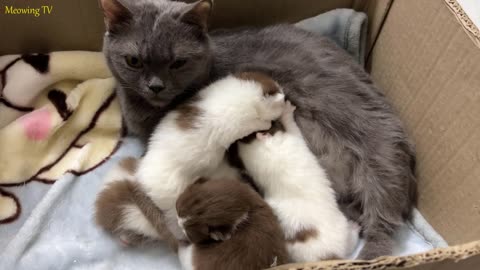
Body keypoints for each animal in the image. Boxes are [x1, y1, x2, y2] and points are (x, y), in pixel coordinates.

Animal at [135, 73, 284, 242]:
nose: (285, 98)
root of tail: (140, 176)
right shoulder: (240, 124)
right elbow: (259, 123)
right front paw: (267, 122)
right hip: (174, 195)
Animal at [238, 101, 358, 262]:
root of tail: (324, 256)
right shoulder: (294, 137)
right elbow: (292, 125)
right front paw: (287, 111)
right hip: (342, 228)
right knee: (350, 243)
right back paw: (355, 227)